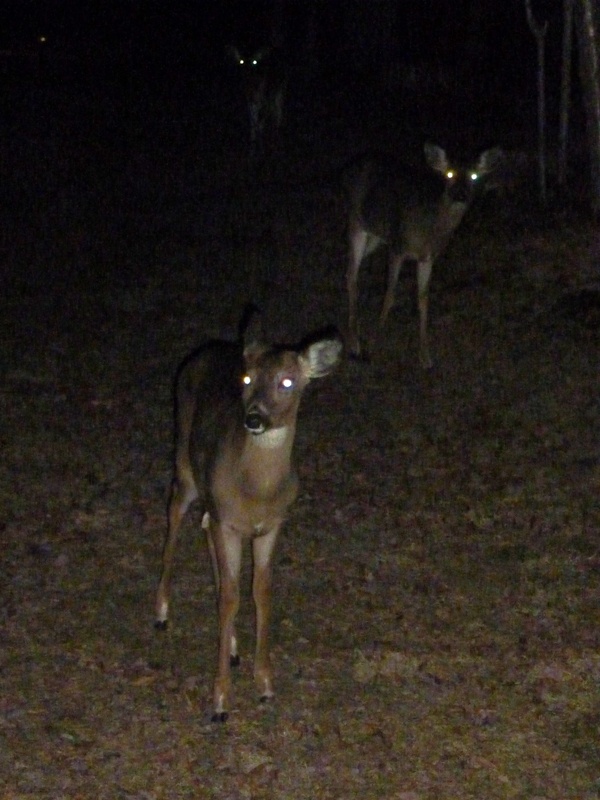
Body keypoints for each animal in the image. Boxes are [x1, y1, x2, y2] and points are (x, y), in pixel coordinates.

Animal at [155, 310, 342, 720]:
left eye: (288, 381)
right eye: (247, 379)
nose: (254, 418)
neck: (256, 491)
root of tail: (203, 353)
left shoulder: (271, 525)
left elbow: (259, 591)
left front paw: (265, 683)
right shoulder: (228, 521)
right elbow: (230, 597)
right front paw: (220, 700)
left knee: (203, 530)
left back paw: (235, 648)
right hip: (185, 458)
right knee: (174, 514)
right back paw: (161, 611)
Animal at [344, 142, 504, 368]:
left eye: (474, 176)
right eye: (449, 173)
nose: (461, 194)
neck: (429, 230)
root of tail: (350, 167)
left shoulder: (427, 258)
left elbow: (423, 300)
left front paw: (425, 356)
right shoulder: (398, 246)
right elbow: (390, 294)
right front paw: (375, 341)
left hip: (375, 237)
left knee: (352, 269)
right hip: (356, 222)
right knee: (351, 274)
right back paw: (354, 343)